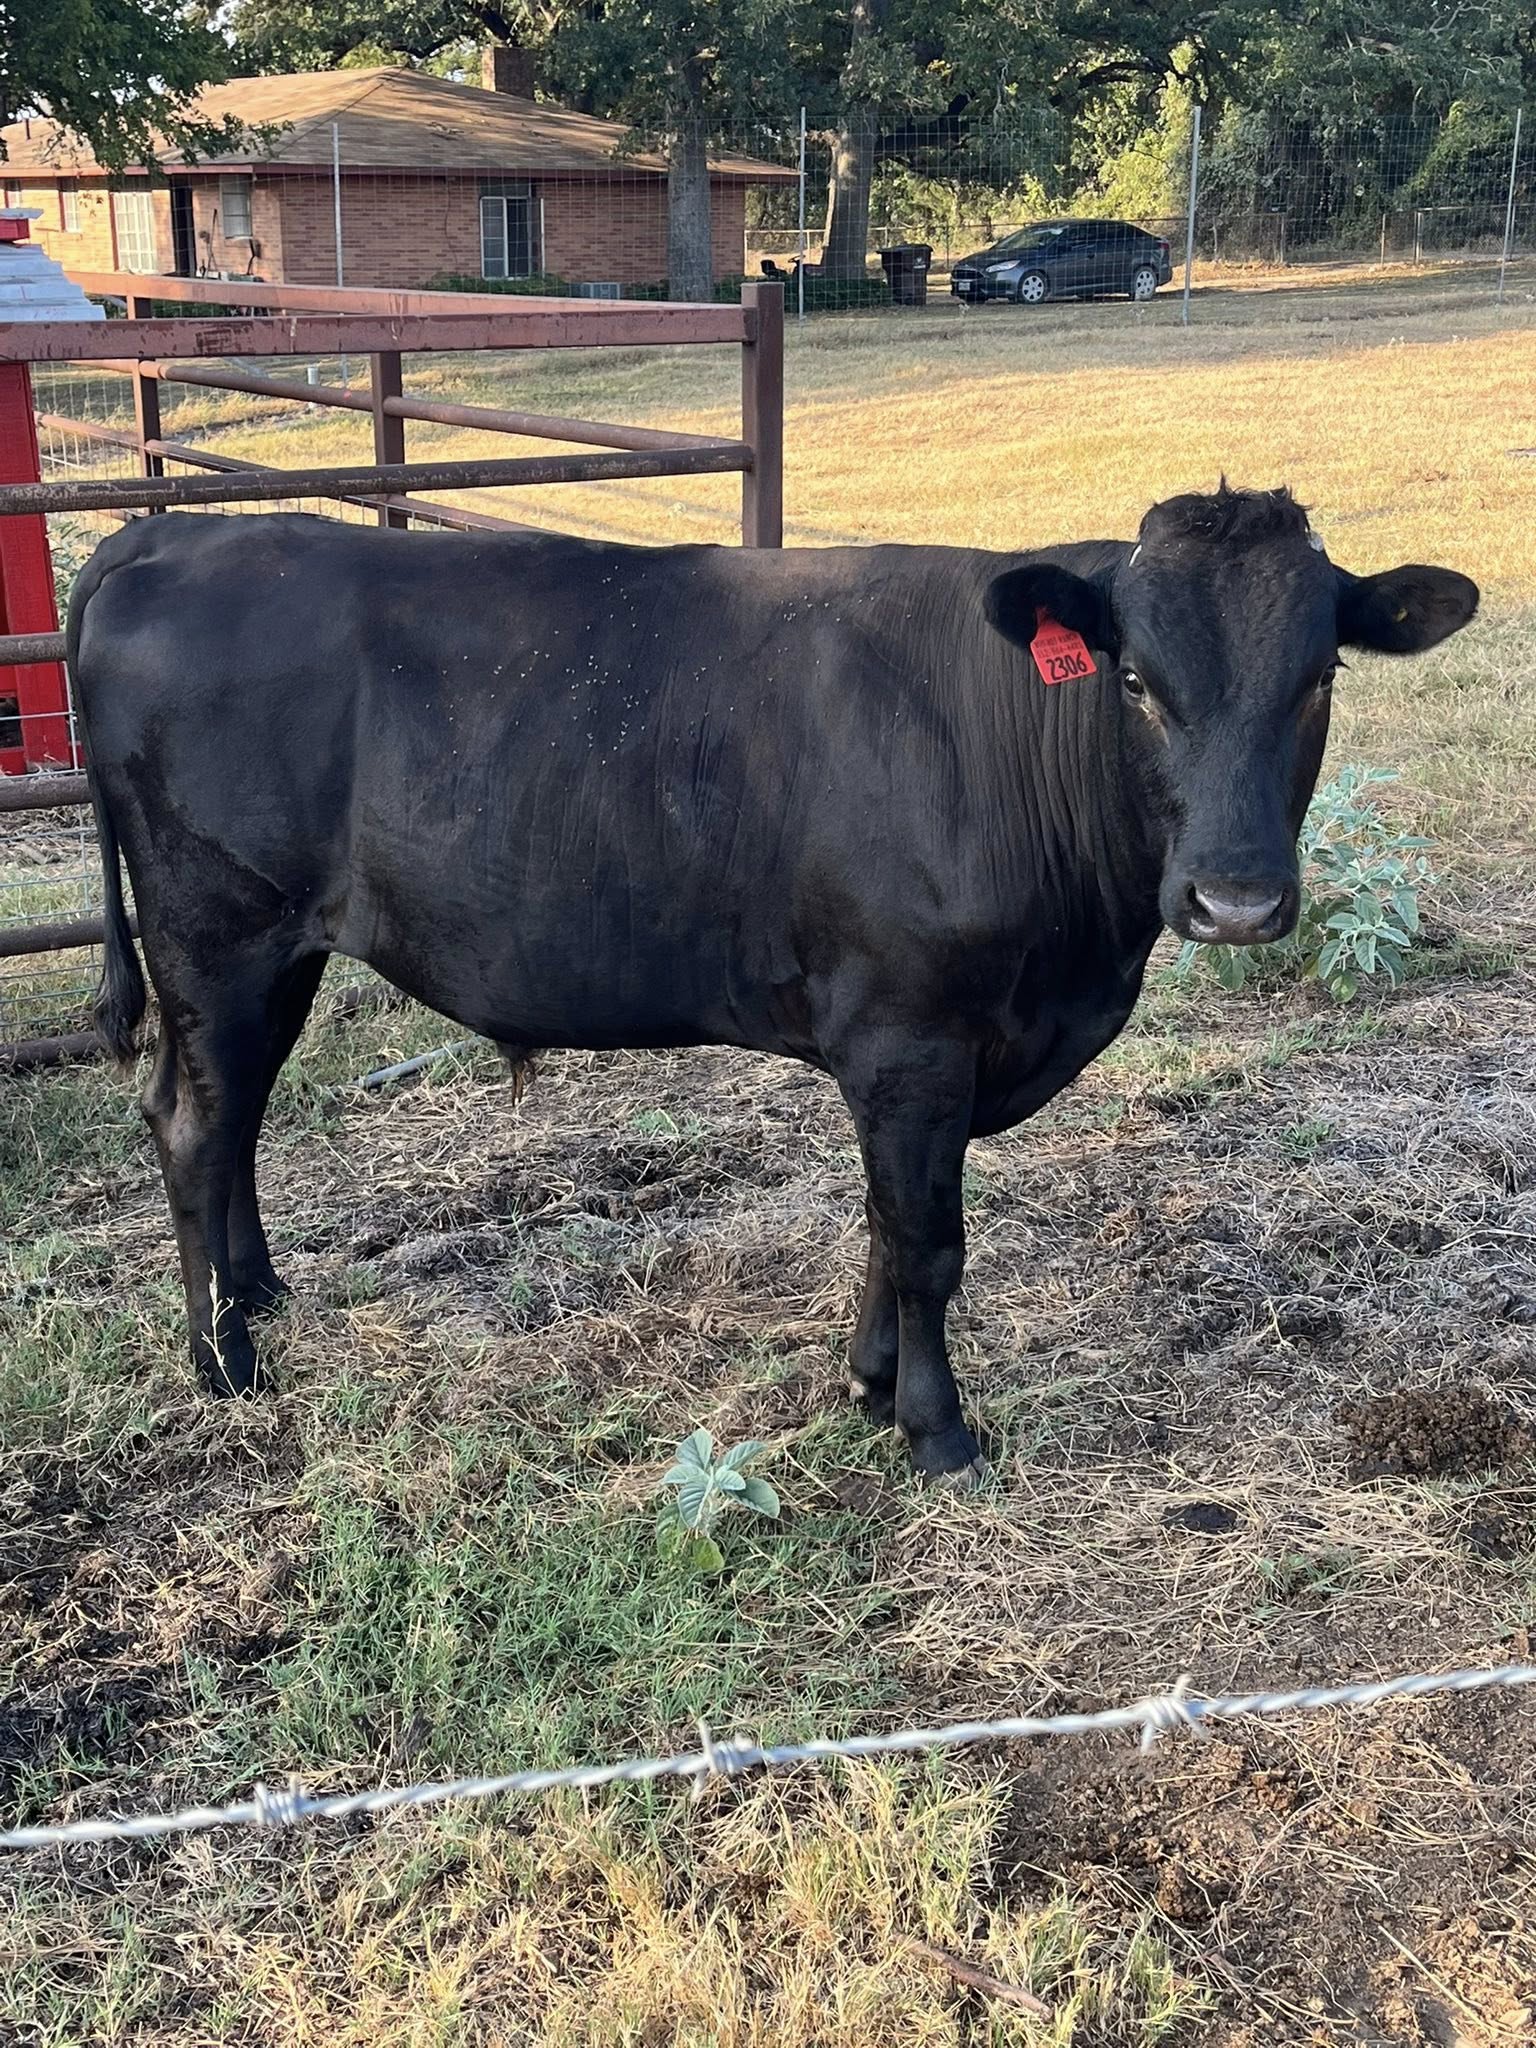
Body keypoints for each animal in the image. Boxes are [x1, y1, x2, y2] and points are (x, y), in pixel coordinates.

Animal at [69, 485, 1477, 1483]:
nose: (1237, 898)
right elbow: (927, 1239)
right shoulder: (912, 1036)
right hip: (219, 933)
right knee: (196, 1123)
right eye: (1135, 679)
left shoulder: (922, 1058)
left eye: (1322, 676)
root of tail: (168, 534)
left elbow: (886, 1227)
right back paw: (224, 1359)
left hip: (274, 951)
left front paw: (867, 1381)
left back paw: (260, 1296)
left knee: (225, 1118)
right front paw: (937, 1432)